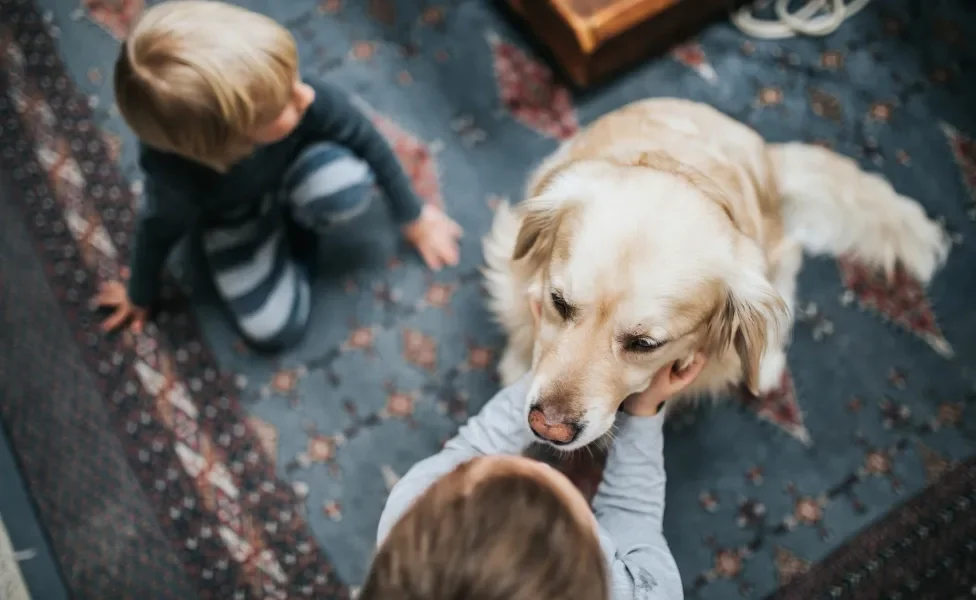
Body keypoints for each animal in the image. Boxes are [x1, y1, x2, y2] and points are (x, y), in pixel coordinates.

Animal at [484, 98, 948, 452]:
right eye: (558, 302)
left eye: (645, 344)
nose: (548, 427)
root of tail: (768, 154)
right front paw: (515, 364)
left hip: (772, 252)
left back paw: (766, 366)